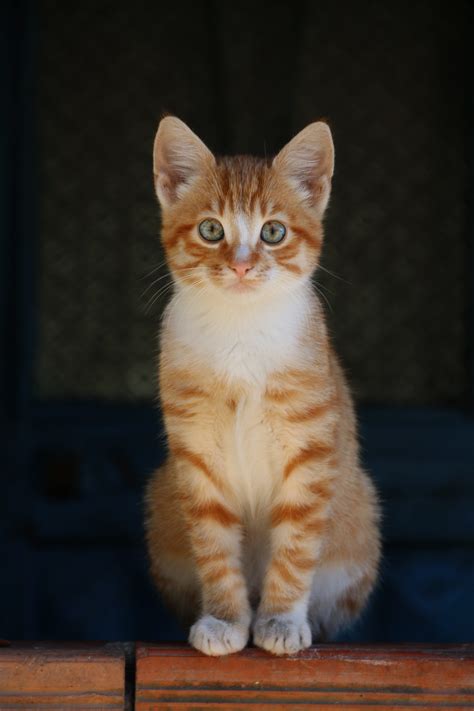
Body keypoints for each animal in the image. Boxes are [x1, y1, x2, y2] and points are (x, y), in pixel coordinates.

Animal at [145, 117, 382, 656]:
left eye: (273, 232)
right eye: (211, 229)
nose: (241, 264)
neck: (241, 331)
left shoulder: (311, 452)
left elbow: (295, 548)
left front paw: (280, 620)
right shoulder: (195, 455)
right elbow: (213, 545)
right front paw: (225, 620)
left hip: (359, 515)